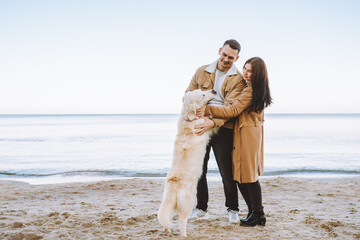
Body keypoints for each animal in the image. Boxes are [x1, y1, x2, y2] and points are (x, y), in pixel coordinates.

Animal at [157, 89, 217, 237]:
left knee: (166, 218)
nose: (213, 90)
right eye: (202, 95)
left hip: (170, 204)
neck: (188, 118)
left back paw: (167, 230)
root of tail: (174, 184)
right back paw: (184, 234)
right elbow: (210, 123)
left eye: (202, 90)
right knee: (182, 220)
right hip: (188, 202)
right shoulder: (205, 128)